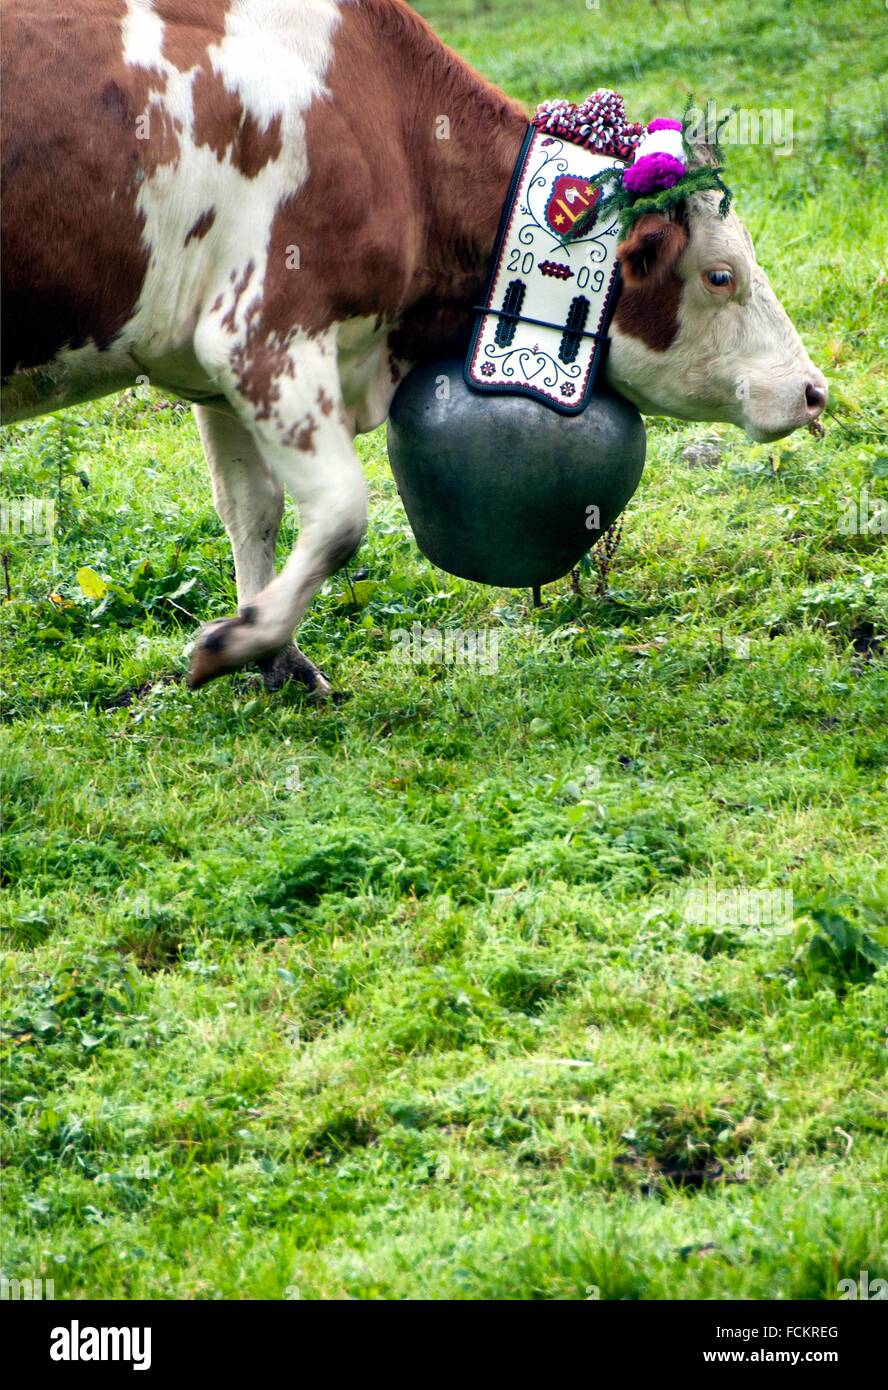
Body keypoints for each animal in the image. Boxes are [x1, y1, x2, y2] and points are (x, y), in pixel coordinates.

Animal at [1, 0, 828, 695]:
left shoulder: (209, 360)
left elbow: (252, 510)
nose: (812, 389)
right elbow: (340, 515)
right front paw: (235, 644)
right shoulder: (264, 325)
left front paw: (277, 659)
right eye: (721, 275)